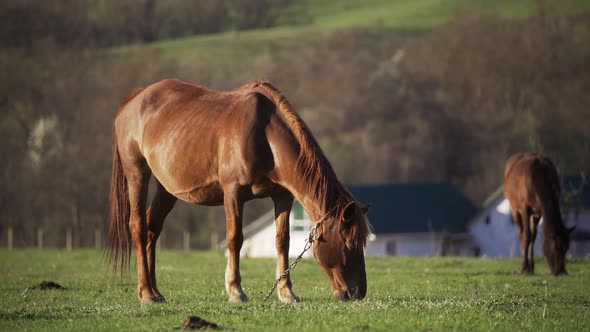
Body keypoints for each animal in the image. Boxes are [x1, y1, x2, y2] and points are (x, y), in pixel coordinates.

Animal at [107, 78, 370, 304]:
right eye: (348, 244)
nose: (357, 292)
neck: (265, 134)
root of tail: (135, 98)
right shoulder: (233, 193)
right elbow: (235, 239)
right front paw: (235, 291)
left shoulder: (282, 197)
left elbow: (282, 241)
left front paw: (286, 293)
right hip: (137, 174)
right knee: (139, 227)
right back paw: (146, 293)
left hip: (166, 189)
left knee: (153, 229)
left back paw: (155, 291)